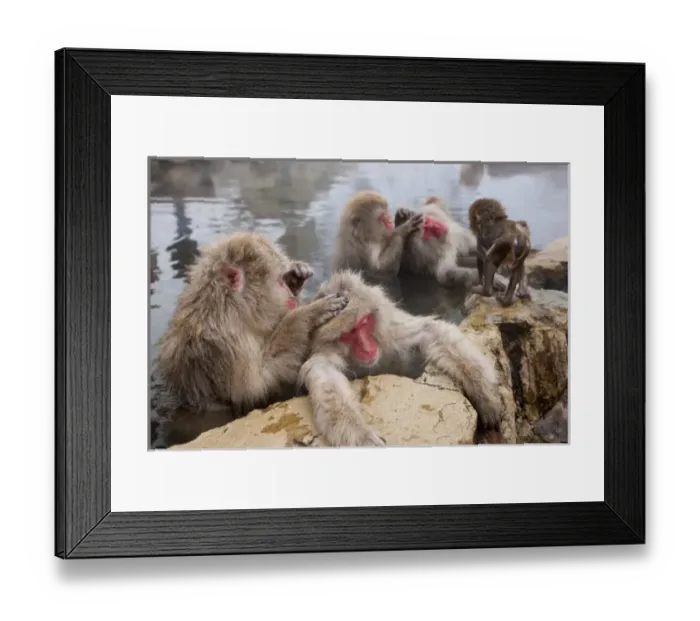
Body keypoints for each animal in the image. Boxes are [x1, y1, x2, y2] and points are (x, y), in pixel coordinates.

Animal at [151, 231, 349, 447]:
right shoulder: (228, 345)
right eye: (279, 283)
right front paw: (307, 314)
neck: (228, 308)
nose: (289, 293)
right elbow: (256, 389)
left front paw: (296, 277)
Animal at [298, 269, 504, 447]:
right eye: (349, 334)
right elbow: (326, 377)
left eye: (364, 322)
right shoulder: (326, 354)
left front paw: (484, 394)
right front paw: (362, 434)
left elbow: (428, 330)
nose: (367, 348)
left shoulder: (391, 332)